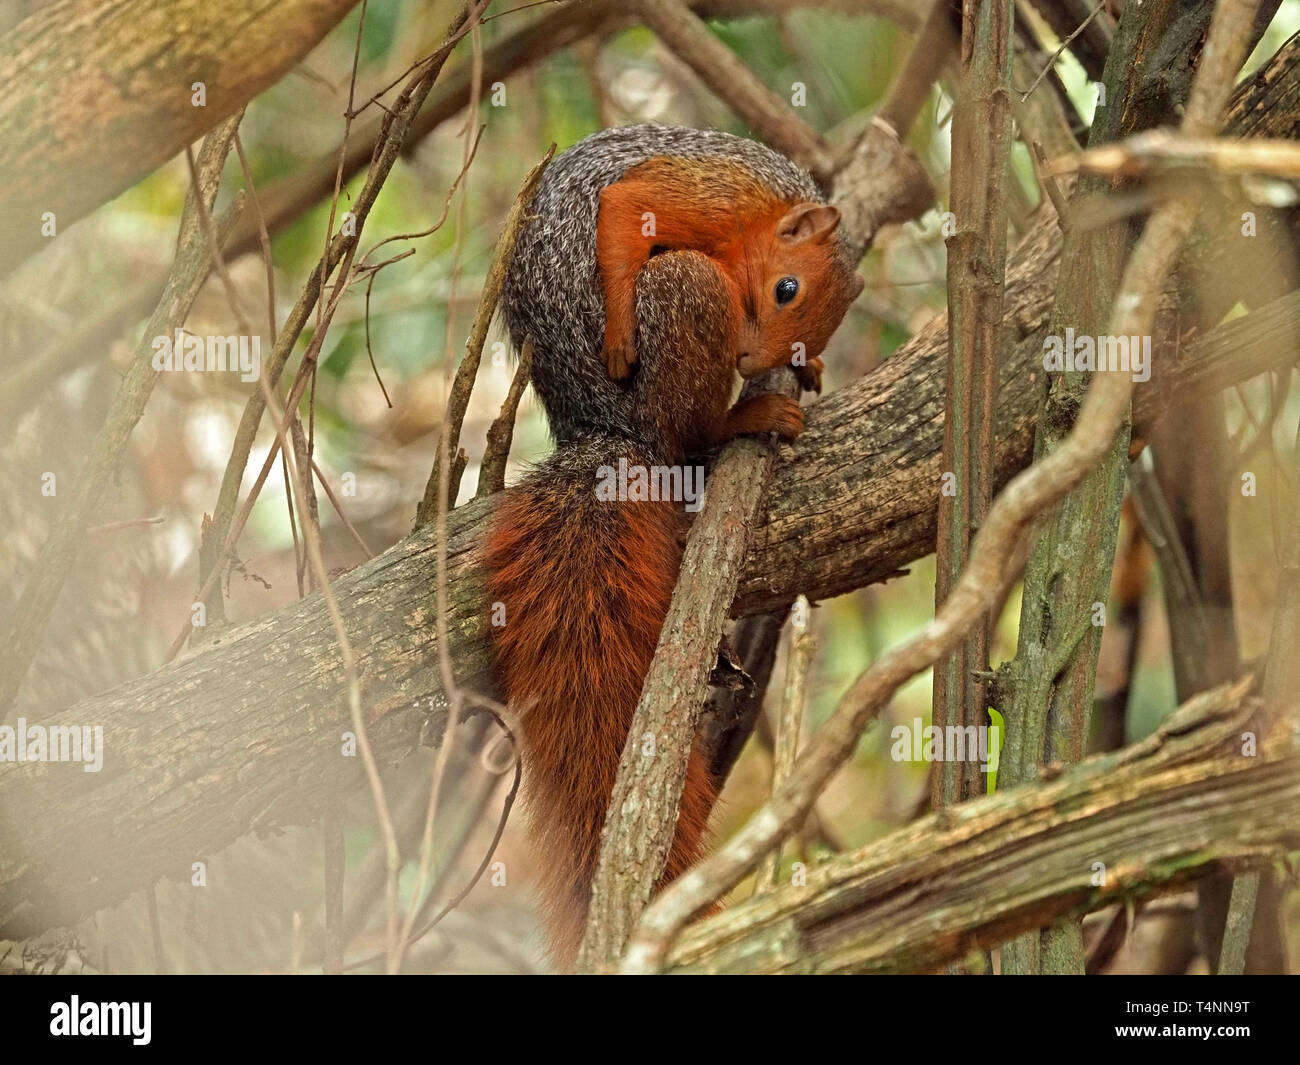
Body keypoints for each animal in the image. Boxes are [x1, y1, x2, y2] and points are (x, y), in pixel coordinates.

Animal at [488, 124, 863, 967]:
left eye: (813, 324)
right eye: (785, 290)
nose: (758, 362)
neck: (766, 212)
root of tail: (609, 429)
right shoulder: (699, 194)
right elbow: (627, 210)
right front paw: (621, 328)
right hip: (688, 297)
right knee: (684, 433)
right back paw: (738, 419)